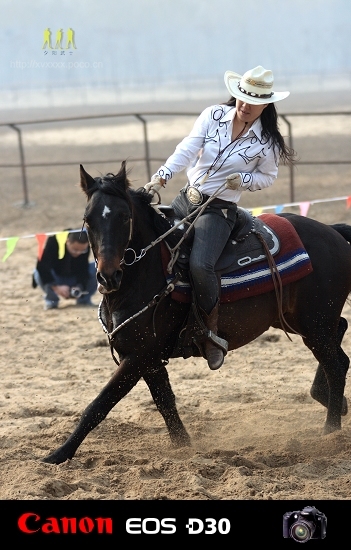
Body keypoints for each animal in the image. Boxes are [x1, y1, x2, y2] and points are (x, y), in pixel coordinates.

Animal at [43, 163, 351, 466]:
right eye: (88, 219)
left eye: (124, 216)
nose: (108, 276)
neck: (151, 273)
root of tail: (333, 231)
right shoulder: (149, 359)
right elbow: (165, 403)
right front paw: (184, 447)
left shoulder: (138, 356)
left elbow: (99, 404)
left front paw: (58, 454)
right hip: (302, 321)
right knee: (341, 340)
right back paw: (328, 400)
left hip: (315, 324)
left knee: (336, 365)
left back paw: (330, 433)